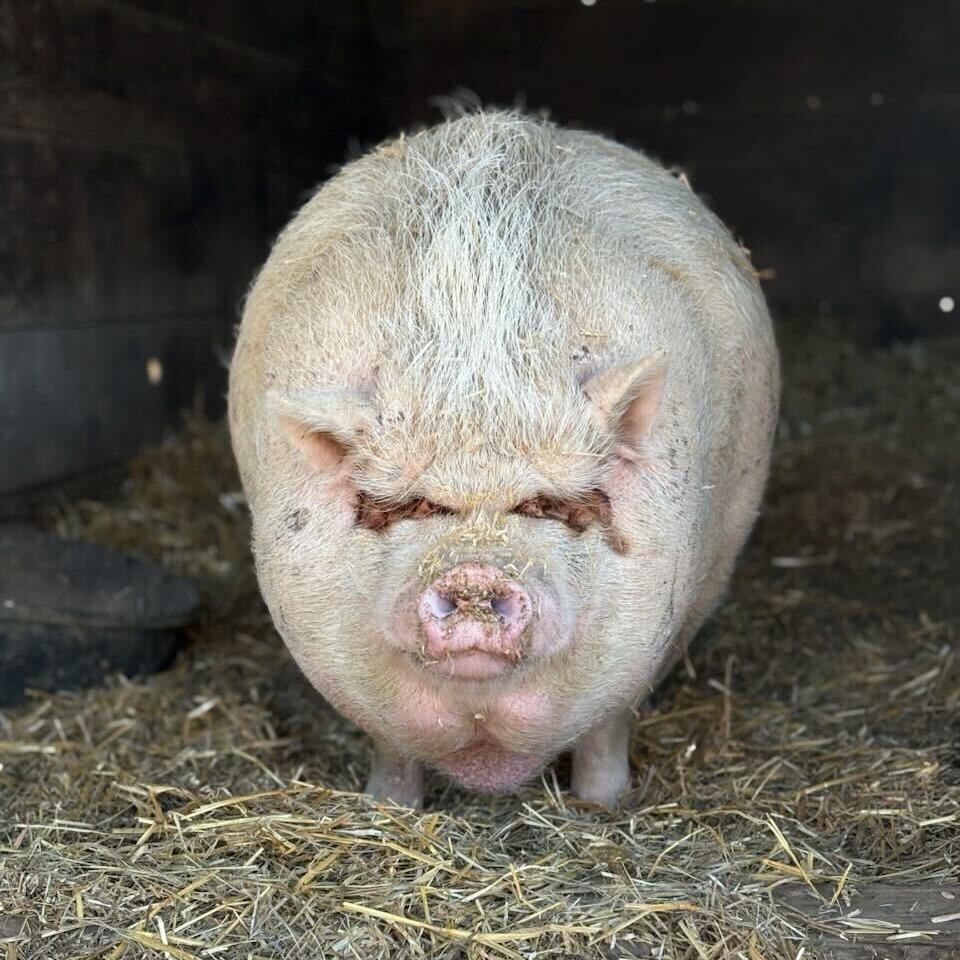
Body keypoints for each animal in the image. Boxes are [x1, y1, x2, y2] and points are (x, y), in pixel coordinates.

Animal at [228, 110, 779, 809]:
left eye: (542, 505)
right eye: (416, 505)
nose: (474, 576)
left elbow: (606, 731)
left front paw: (603, 806)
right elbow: (391, 746)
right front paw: (388, 806)